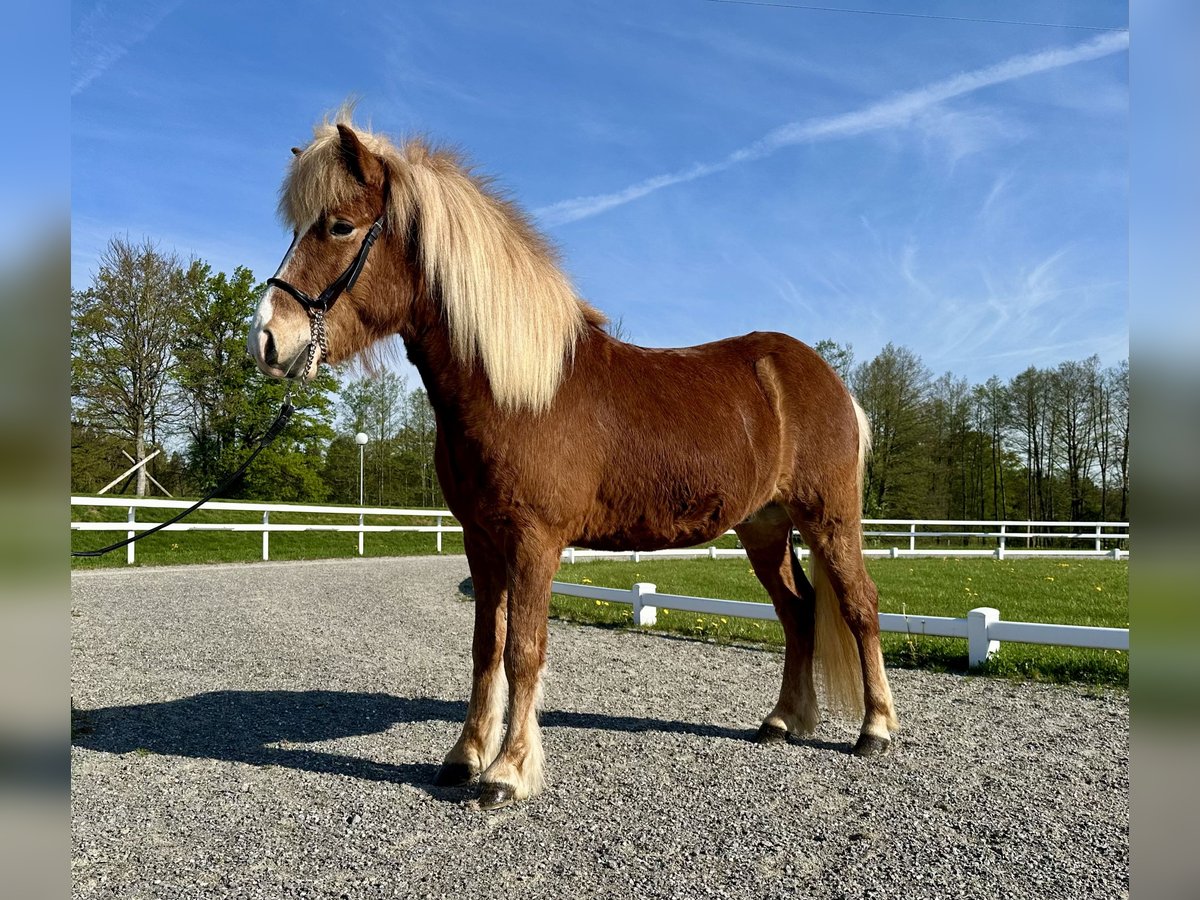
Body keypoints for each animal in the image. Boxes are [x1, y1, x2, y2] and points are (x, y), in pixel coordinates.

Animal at [248, 112, 897, 811]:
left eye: (340, 225)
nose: (268, 340)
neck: (515, 391)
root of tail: (827, 380)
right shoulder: (482, 541)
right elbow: (486, 647)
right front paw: (464, 757)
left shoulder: (535, 541)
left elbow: (524, 650)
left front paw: (507, 772)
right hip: (764, 527)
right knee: (797, 612)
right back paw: (783, 721)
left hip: (829, 520)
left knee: (859, 605)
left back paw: (875, 730)